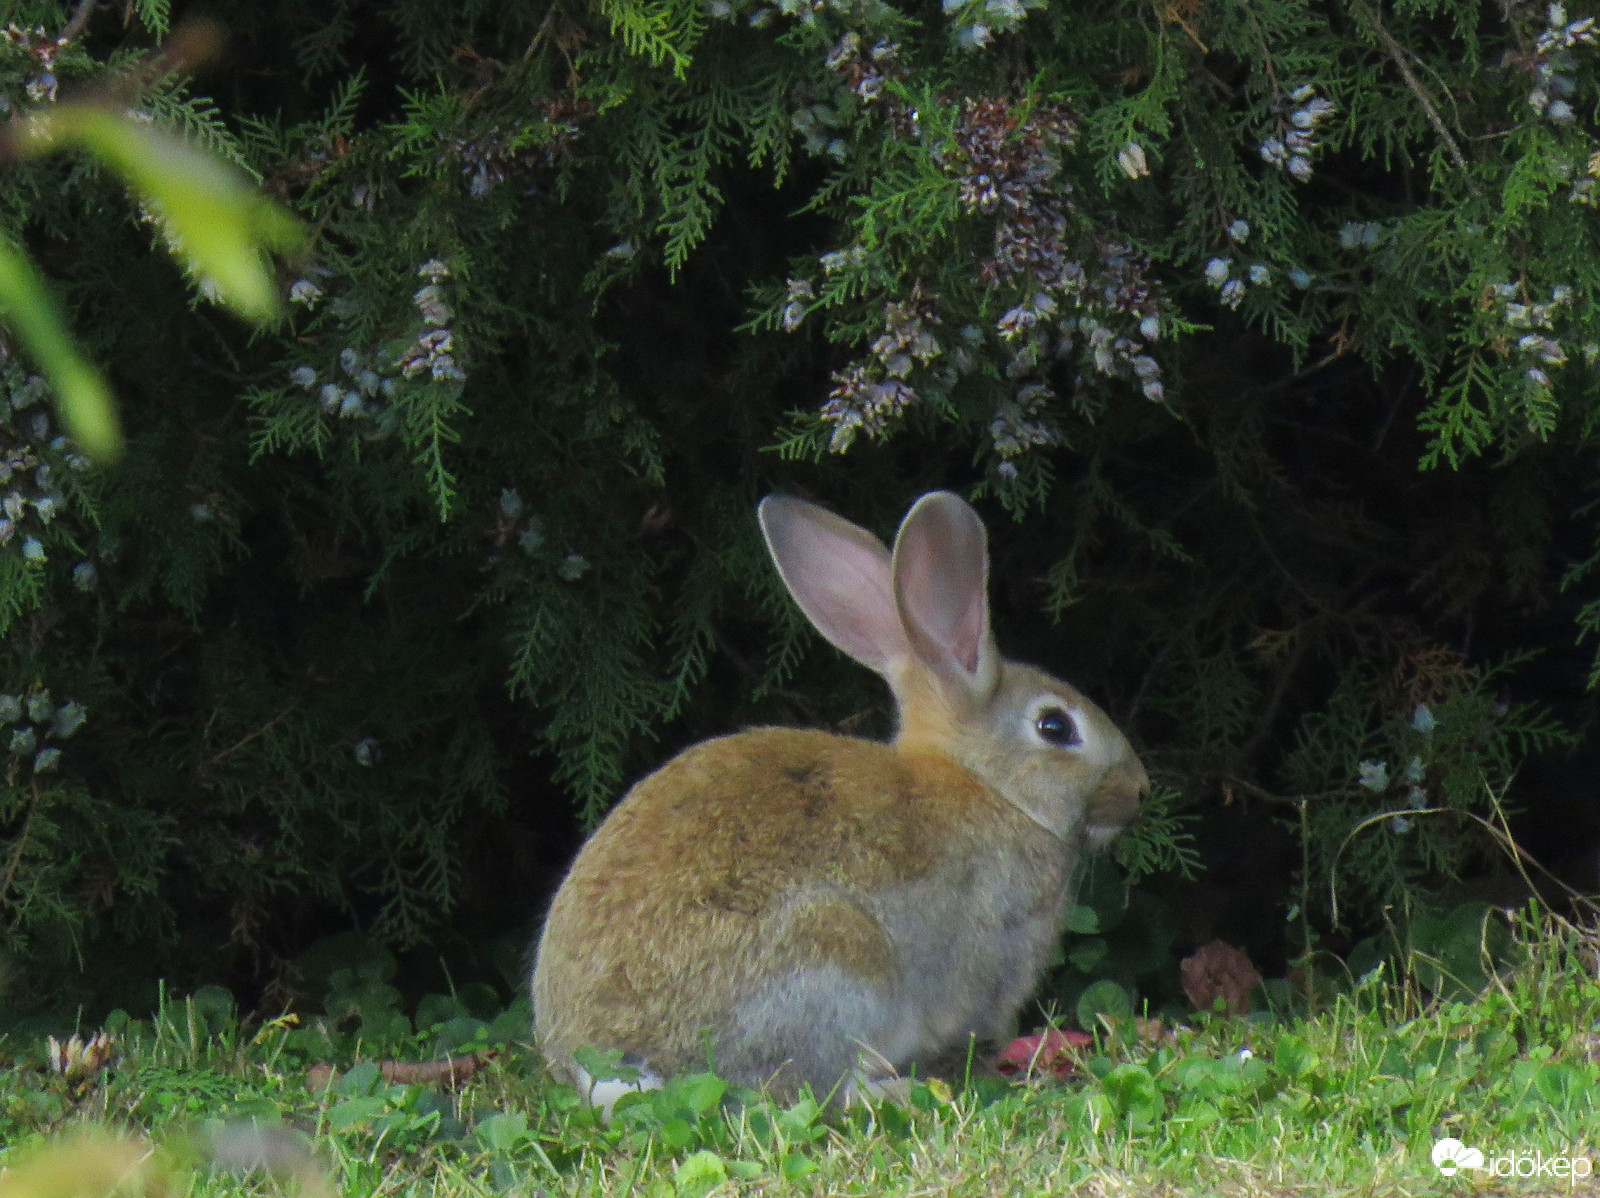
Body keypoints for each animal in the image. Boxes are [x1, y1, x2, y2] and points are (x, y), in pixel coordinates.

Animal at [534, 489, 1152, 1106]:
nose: (1140, 788)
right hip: (833, 958)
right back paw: (901, 1091)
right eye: (1055, 727)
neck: (987, 783)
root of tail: (616, 1065)